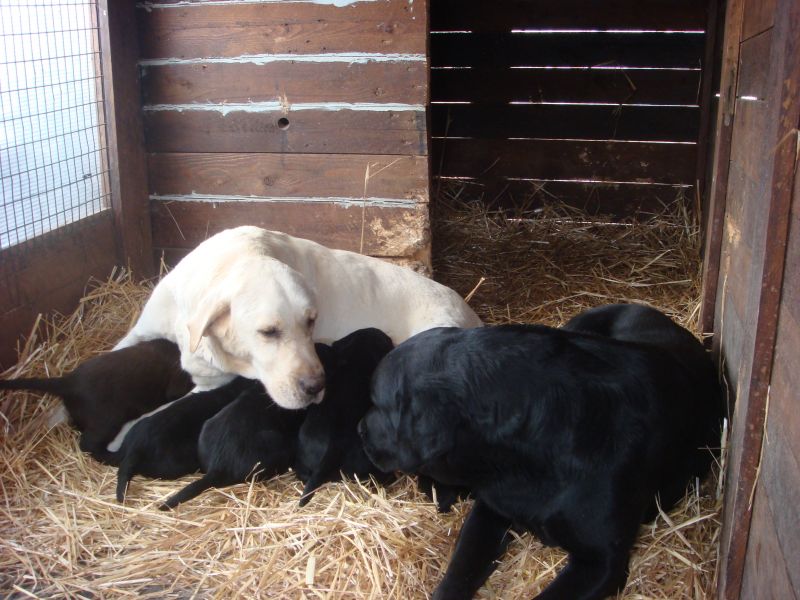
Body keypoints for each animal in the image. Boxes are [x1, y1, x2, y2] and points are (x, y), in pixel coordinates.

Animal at [114, 227, 482, 410]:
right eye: (268, 332)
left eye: (311, 322)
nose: (316, 386)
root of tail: (472, 314)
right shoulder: (141, 331)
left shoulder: (207, 387)